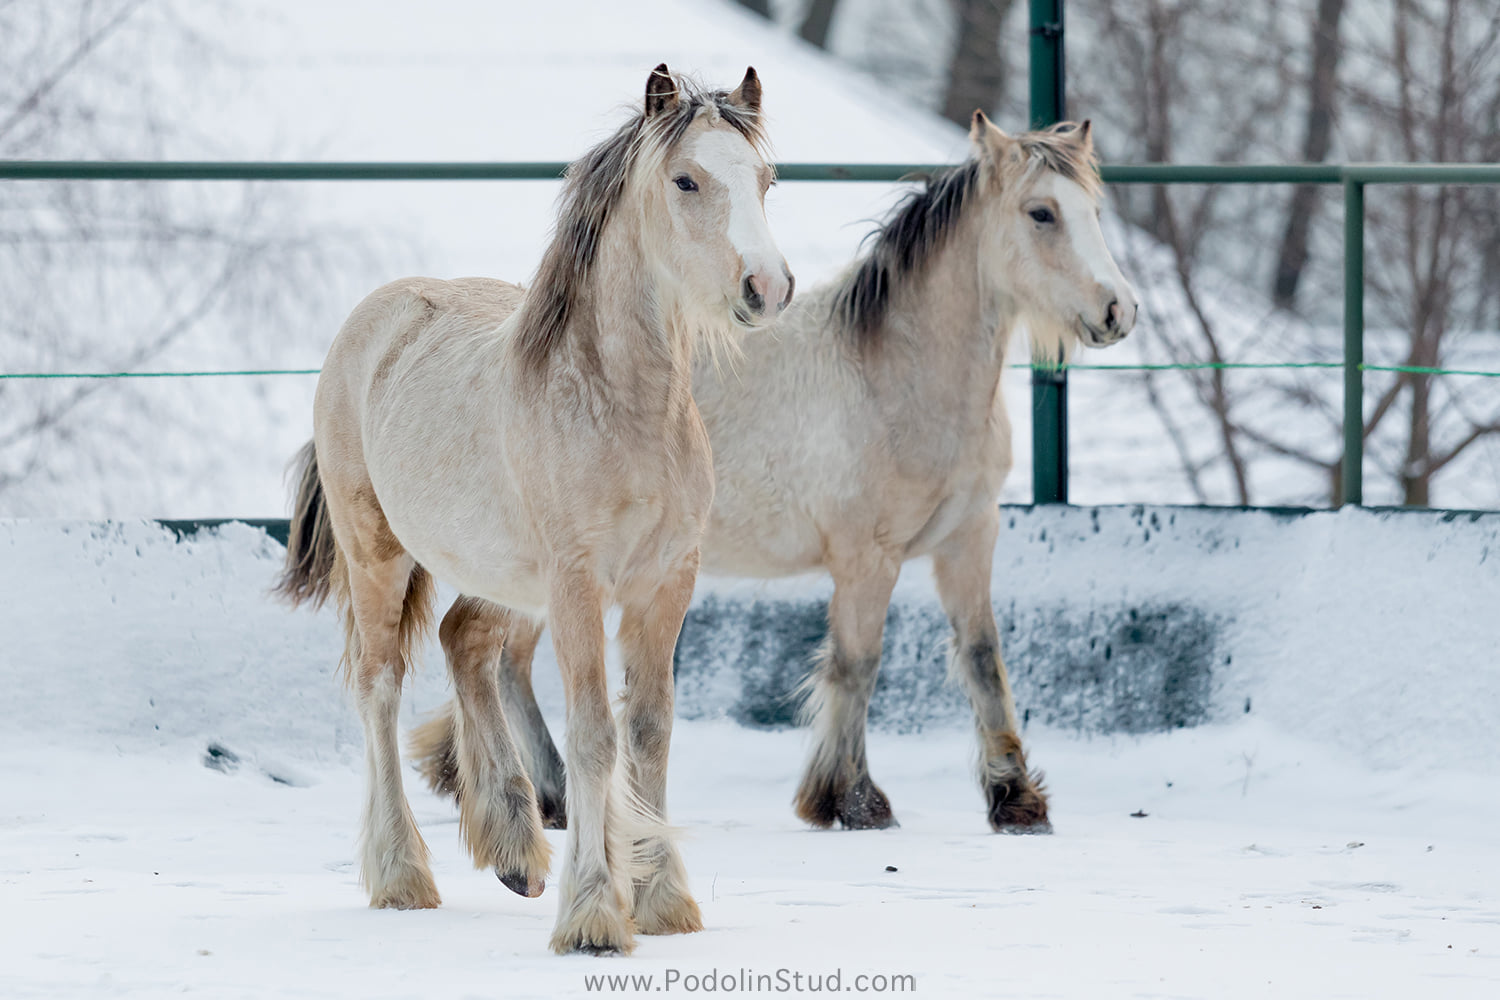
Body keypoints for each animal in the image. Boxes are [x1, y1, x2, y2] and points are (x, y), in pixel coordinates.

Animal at [282, 66, 798, 959]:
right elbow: (595, 735)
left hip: (505, 582)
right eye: (686, 180)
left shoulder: (666, 584)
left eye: (765, 179)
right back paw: (403, 875)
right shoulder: (578, 586)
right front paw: (594, 916)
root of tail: (368, 322)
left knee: (464, 642)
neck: (621, 409)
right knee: (381, 687)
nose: (766, 289)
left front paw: (661, 900)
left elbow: (650, 731)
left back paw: (514, 847)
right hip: (382, 558)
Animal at [414, 115, 1134, 839]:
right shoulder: (867, 557)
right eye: (1041, 213)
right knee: (500, 654)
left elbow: (982, 656)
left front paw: (1017, 799)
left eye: (1095, 210)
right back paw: (546, 792)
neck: (894, 378)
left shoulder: (969, 538)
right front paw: (853, 800)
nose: (1118, 311)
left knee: (499, 655)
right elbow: (857, 665)